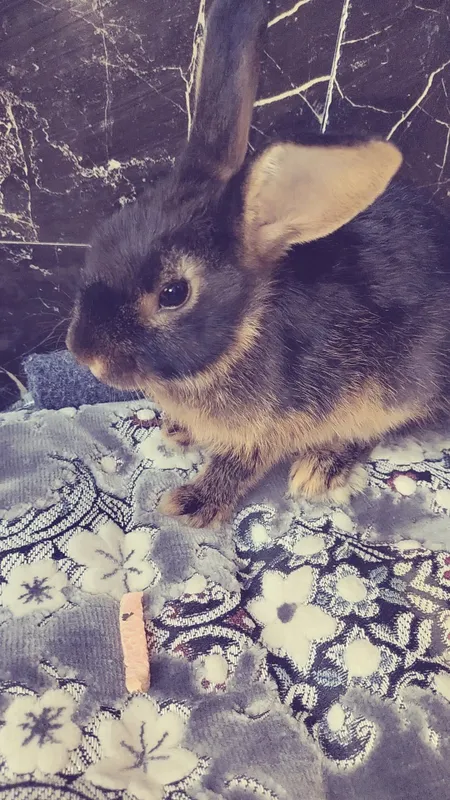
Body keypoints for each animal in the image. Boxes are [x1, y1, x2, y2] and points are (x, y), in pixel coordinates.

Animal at [67, 0, 450, 529]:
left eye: (173, 294)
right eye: (103, 235)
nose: (84, 354)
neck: (244, 330)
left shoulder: (274, 424)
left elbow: (240, 462)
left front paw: (192, 503)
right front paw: (177, 430)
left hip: (398, 386)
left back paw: (321, 468)